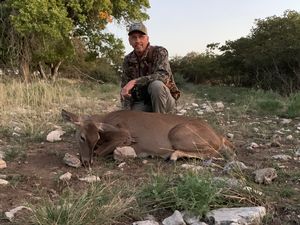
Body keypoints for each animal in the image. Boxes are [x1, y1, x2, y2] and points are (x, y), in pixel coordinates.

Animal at [61, 109, 234, 167]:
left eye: (96, 137)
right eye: (82, 137)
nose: (86, 162)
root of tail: (218, 136)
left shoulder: (123, 137)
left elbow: (100, 152)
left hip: (178, 133)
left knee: (214, 152)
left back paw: (173, 155)